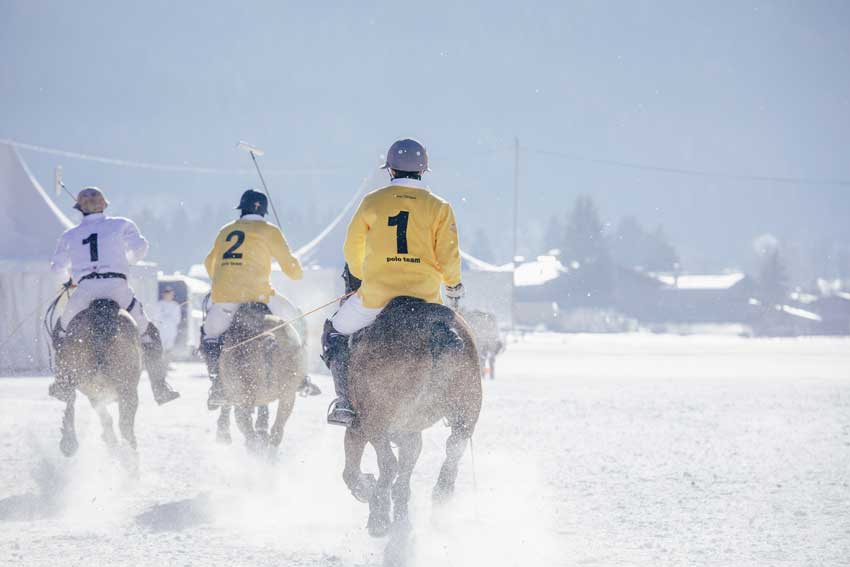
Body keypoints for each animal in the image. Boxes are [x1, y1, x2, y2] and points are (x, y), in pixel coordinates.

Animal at [54, 300, 142, 460]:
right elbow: (106, 418)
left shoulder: (94, 393)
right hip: (125, 387)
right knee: (125, 423)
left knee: (70, 399)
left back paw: (69, 443)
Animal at [340, 298, 484, 536]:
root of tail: (438, 328)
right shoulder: (409, 432)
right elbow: (407, 468)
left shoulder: (359, 426)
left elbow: (352, 470)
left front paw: (368, 491)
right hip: (467, 405)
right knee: (455, 446)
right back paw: (440, 498)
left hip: (376, 417)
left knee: (388, 463)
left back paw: (379, 518)